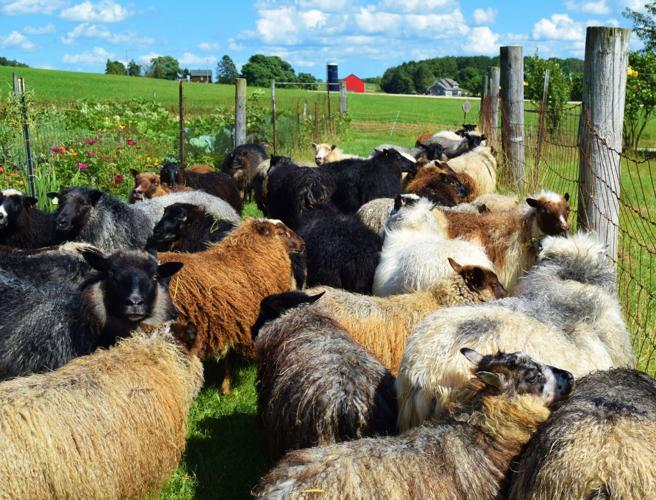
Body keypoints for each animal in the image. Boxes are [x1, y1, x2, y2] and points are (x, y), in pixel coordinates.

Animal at [158, 218, 305, 394]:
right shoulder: (246, 321)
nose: (303, 244)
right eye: (281, 233)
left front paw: (226, 389)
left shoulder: (232, 322)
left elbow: (229, 358)